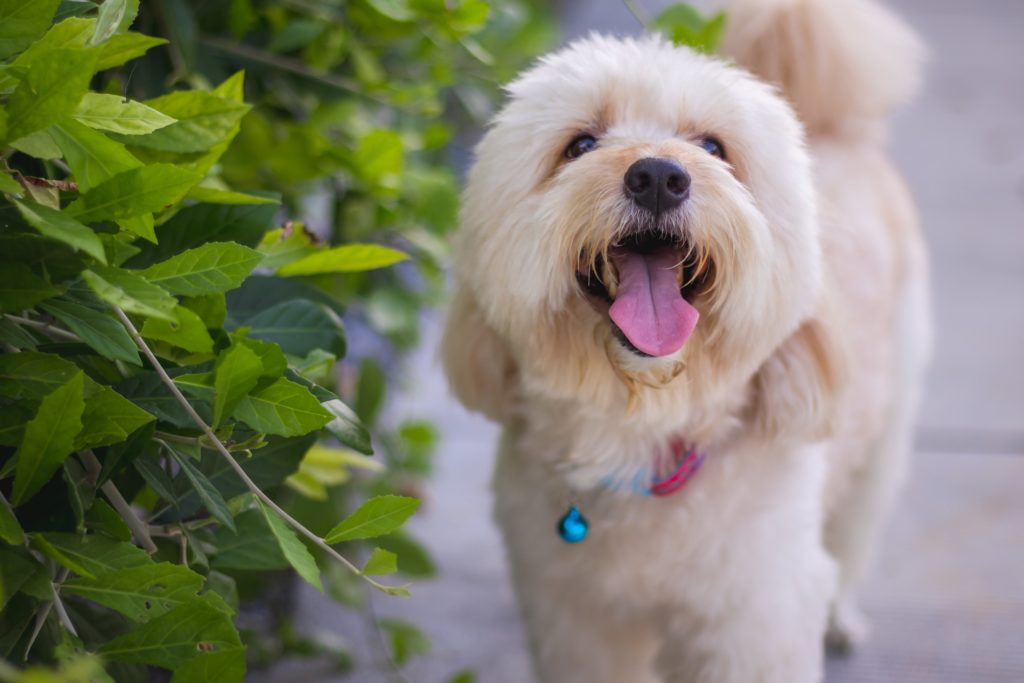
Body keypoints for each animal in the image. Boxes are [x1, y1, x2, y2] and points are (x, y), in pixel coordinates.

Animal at [440, 1, 929, 679]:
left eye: (713, 147)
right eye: (580, 145)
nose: (656, 175)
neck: (642, 429)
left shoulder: (753, 618)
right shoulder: (576, 619)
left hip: (886, 425)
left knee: (856, 523)